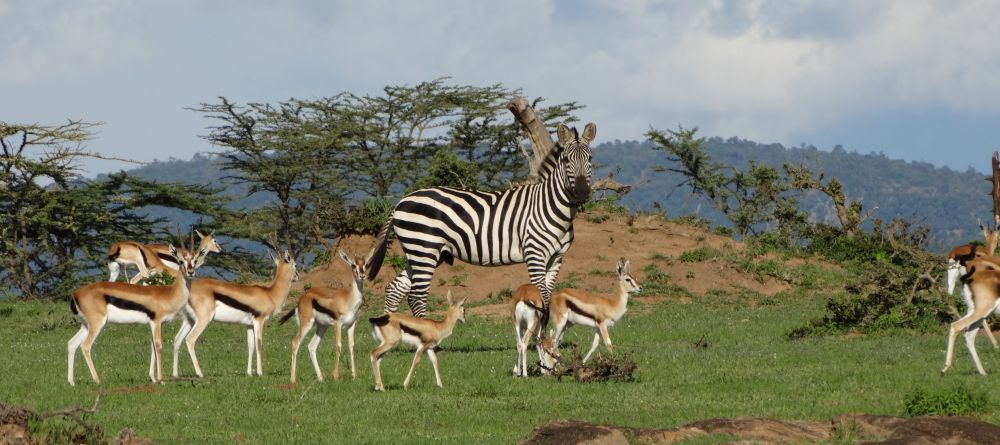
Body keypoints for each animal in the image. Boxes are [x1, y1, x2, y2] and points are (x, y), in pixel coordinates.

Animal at [370, 121, 596, 318]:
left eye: (591, 159)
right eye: (566, 160)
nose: (582, 192)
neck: (551, 206)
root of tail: (401, 201)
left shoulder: (556, 258)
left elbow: (547, 299)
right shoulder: (535, 254)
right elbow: (539, 299)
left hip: (421, 253)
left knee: (395, 289)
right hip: (424, 249)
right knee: (416, 297)